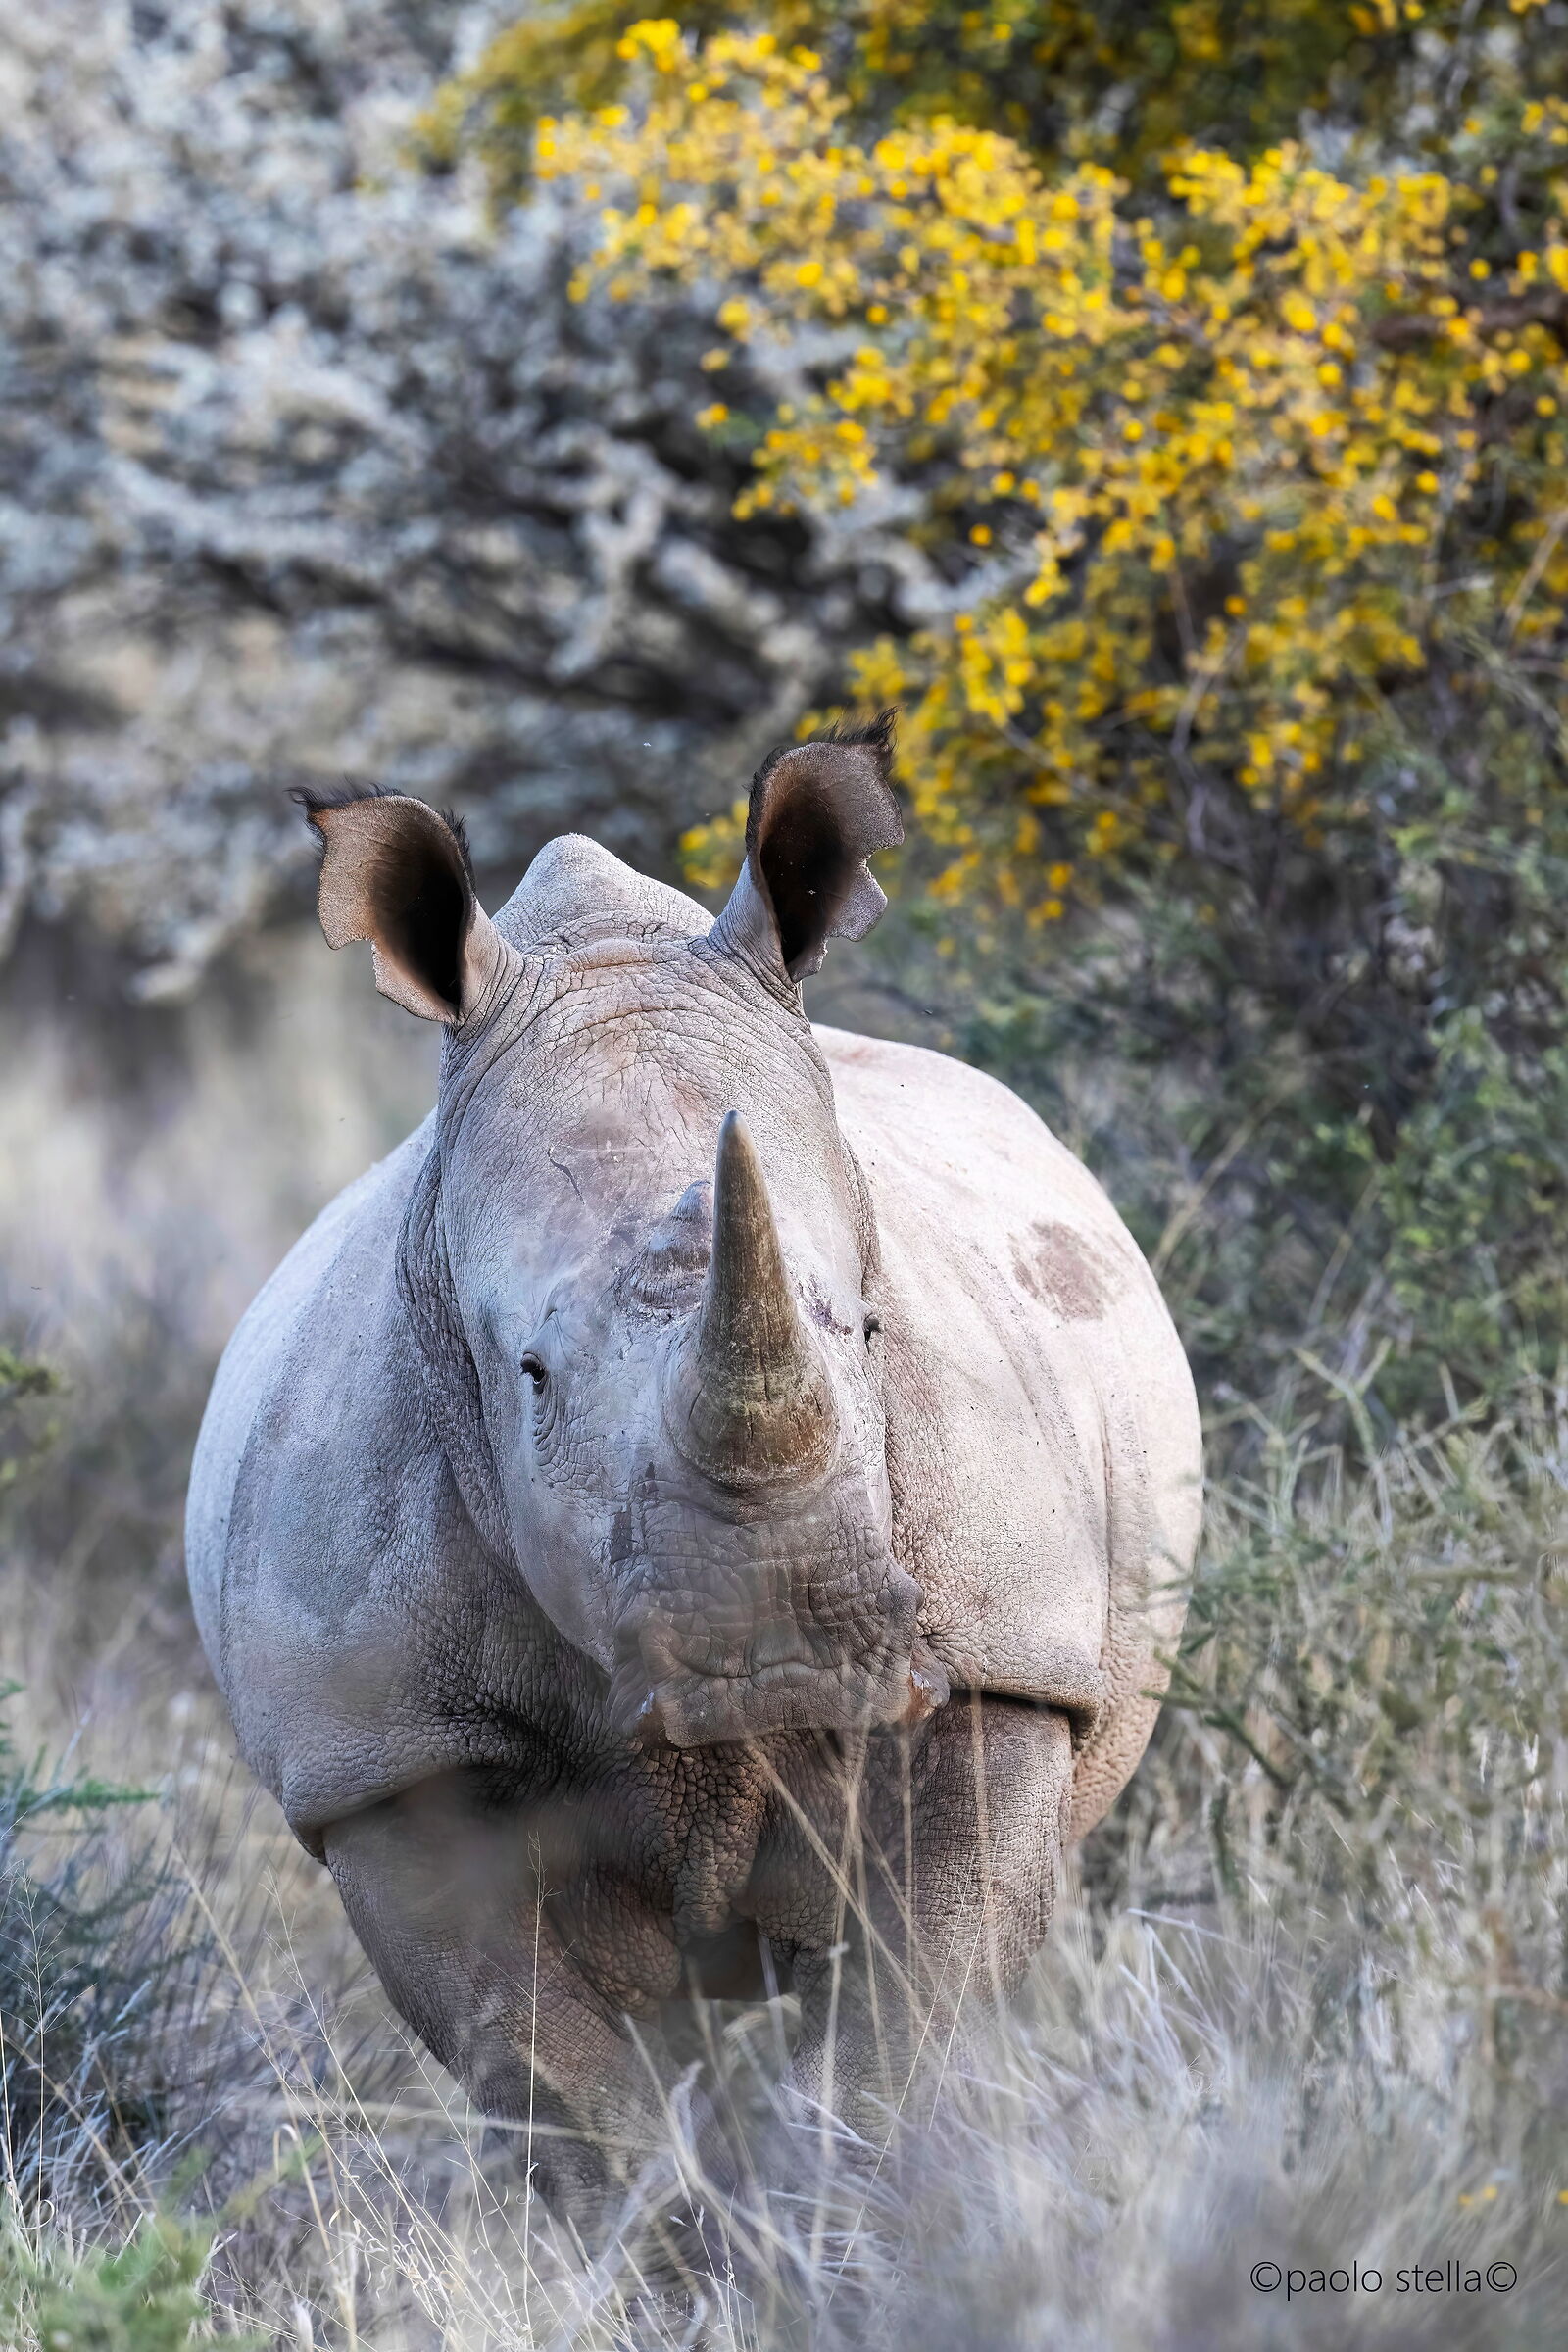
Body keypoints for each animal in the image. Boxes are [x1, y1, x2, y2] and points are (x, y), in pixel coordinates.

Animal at [186, 717, 1201, 2226]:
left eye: (872, 1328)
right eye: (529, 1374)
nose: (779, 1661)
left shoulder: (999, 1662)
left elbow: (905, 2041)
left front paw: (861, 2229)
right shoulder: (383, 1758)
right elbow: (562, 2096)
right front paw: (673, 2249)